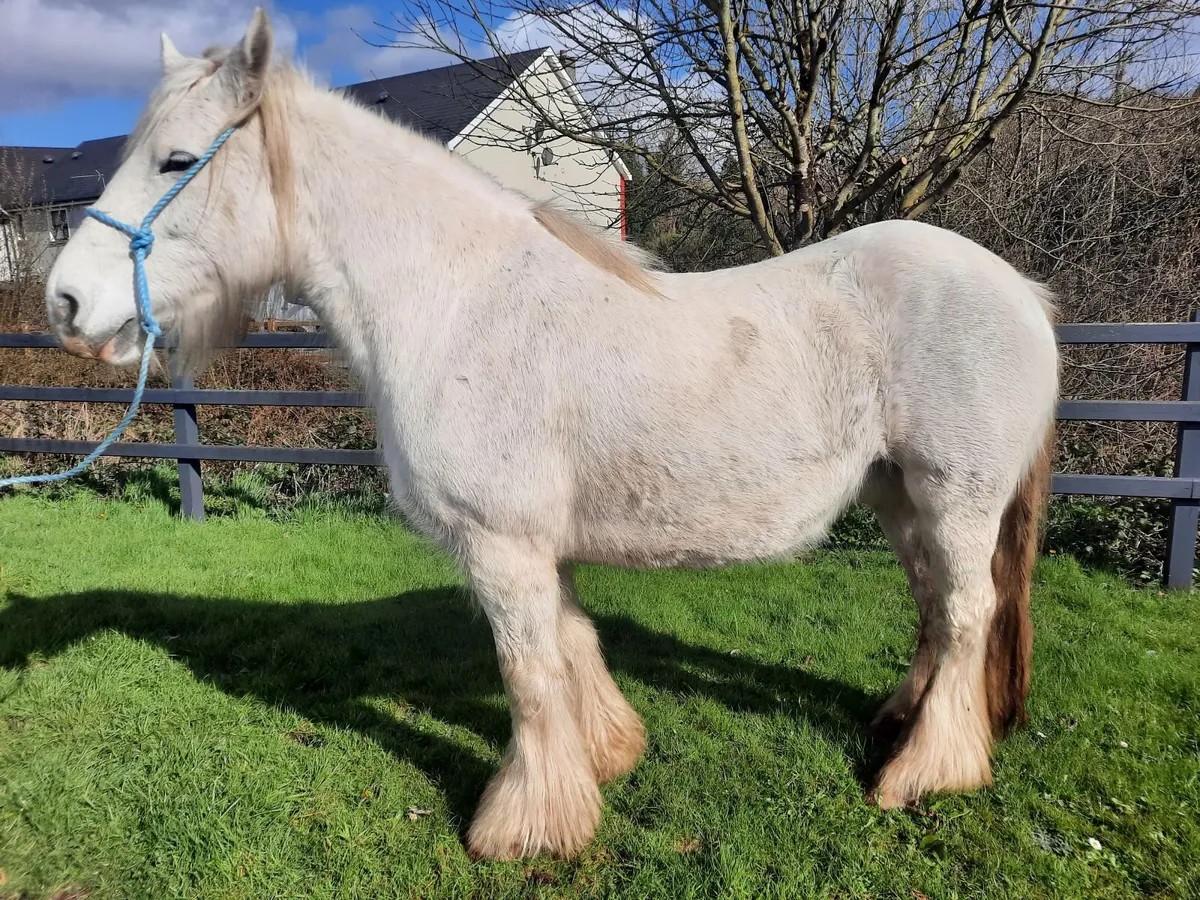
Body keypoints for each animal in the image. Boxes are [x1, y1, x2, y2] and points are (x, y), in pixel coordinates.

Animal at [42, 8, 1059, 861]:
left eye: (176, 161)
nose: (65, 303)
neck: (456, 302)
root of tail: (1023, 296)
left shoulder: (501, 545)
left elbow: (528, 672)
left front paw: (526, 827)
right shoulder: (540, 545)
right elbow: (573, 645)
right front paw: (608, 755)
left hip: (956, 499)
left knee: (966, 615)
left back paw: (924, 772)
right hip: (898, 497)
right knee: (933, 610)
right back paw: (897, 725)